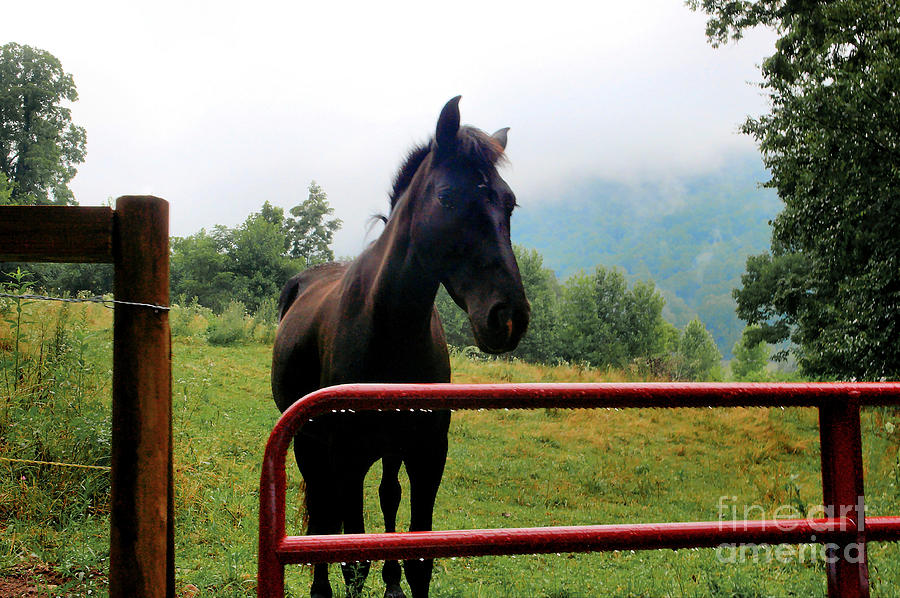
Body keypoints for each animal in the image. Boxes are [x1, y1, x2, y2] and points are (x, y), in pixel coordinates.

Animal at [271, 96, 530, 598]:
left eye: (509, 203)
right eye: (447, 197)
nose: (507, 316)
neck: (389, 330)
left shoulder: (428, 453)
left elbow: (418, 558)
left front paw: (399, 579)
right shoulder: (347, 458)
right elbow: (352, 559)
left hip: (389, 450)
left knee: (386, 498)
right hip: (309, 445)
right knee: (322, 514)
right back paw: (319, 589)